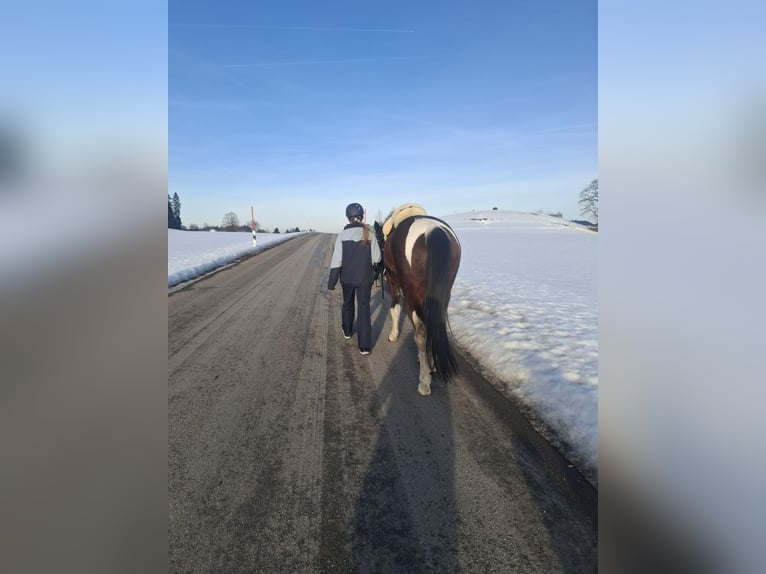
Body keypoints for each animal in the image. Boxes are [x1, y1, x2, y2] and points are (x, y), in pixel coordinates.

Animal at [374, 214, 461, 396]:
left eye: (378, 240)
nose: (378, 266)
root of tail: (433, 229)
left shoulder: (393, 282)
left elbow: (395, 309)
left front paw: (393, 335)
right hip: (442, 294)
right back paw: (431, 365)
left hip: (412, 294)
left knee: (421, 333)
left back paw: (424, 382)